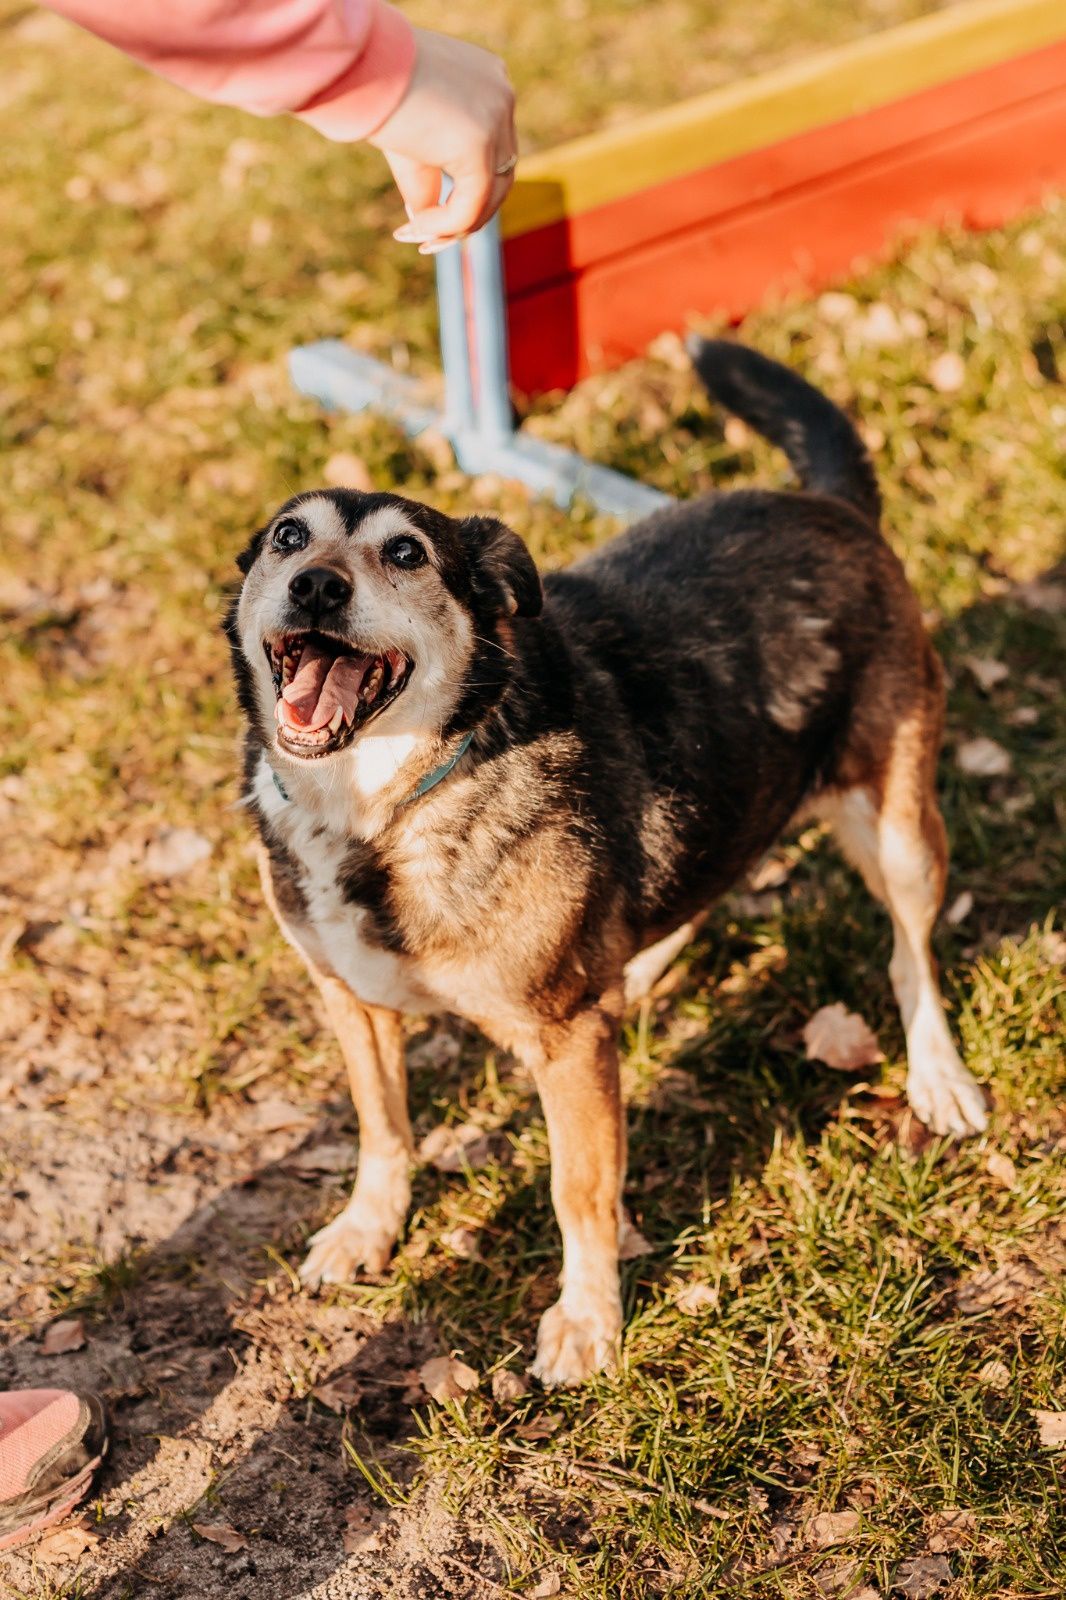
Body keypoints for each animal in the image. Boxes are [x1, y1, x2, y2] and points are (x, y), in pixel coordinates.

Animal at [228, 340, 985, 1388]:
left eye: (406, 553)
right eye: (288, 538)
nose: (315, 588)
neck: (385, 812)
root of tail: (828, 505)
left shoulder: (567, 1045)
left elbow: (578, 1191)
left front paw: (588, 1321)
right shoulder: (353, 999)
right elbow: (383, 1129)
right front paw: (368, 1229)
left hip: (900, 829)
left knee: (911, 955)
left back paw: (938, 1076)